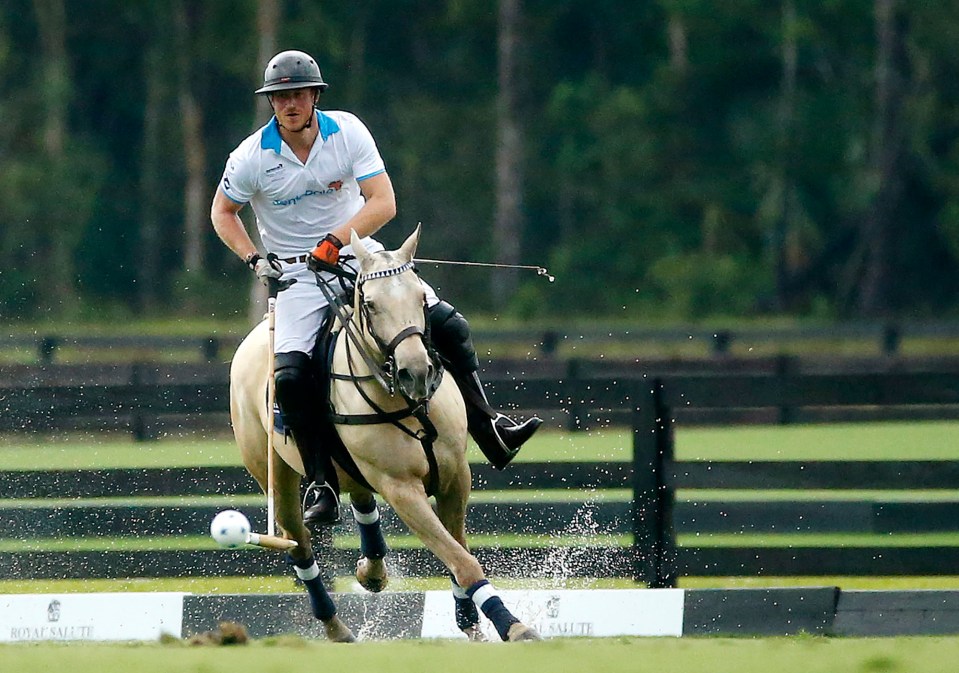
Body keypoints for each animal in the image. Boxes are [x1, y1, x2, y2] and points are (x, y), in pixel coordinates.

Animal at [227, 224, 540, 640]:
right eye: (371, 305)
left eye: (420, 297)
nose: (416, 372)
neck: (404, 399)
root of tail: (260, 329)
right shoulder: (401, 487)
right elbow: (461, 560)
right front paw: (513, 626)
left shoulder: (456, 475)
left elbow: (458, 551)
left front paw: (470, 620)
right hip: (274, 474)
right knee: (299, 546)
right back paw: (336, 626)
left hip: (353, 467)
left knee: (361, 499)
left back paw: (372, 570)